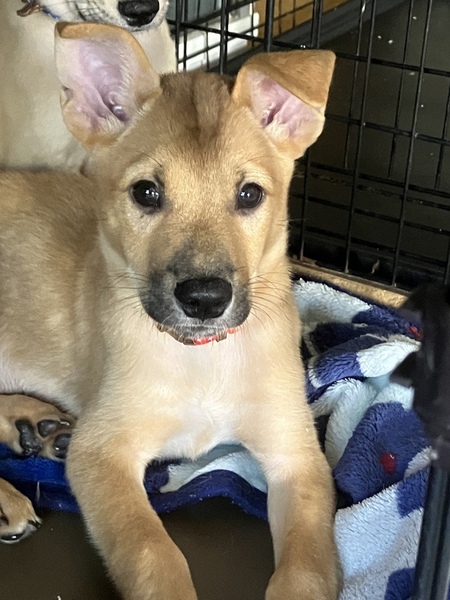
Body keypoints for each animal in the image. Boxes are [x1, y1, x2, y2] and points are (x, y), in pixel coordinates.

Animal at [0, 22, 338, 599]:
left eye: (250, 194)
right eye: (146, 192)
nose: (204, 298)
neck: (201, 358)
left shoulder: (298, 457)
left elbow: (308, 569)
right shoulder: (102, 452)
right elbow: (152, 552)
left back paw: (33, 425)